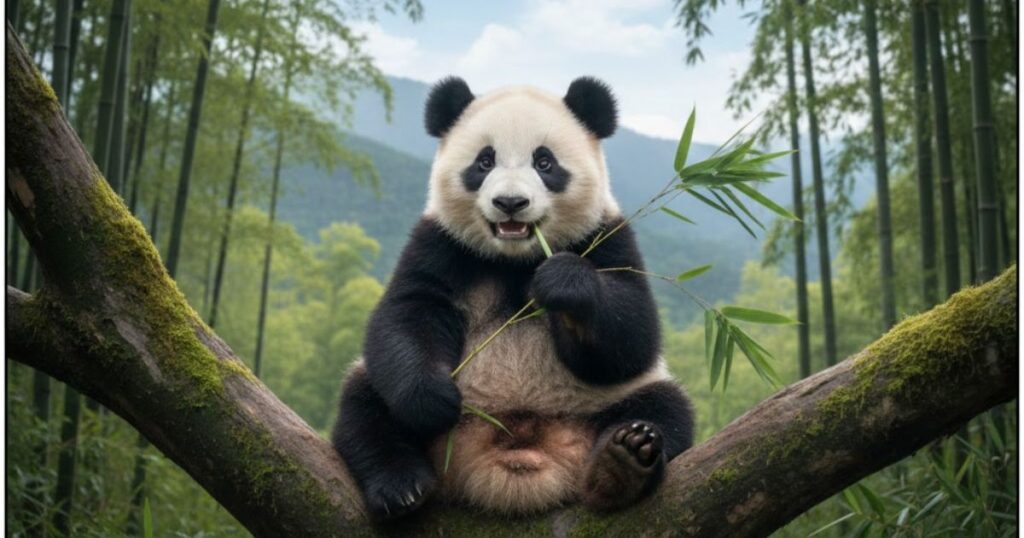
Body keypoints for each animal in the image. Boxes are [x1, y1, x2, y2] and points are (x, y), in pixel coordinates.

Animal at [331, 76, 694, 520]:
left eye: (545, 163)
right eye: (484, 161)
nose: (510, 203)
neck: (515, 259)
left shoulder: (606, 237)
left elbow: (634, 337)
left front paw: (563, 283)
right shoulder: (440, 243)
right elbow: (409, 313)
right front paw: (433, 398)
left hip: (607, 403)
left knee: (665, 408)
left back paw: (622, 463)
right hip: (392, 400)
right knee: (365, 407)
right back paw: (402, 486)